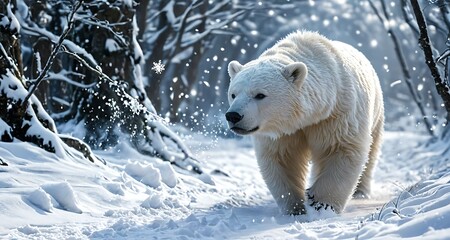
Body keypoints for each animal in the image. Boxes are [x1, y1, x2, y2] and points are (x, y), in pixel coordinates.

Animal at [225, 31, 384, 215]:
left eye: (260, 95)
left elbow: (341, 149)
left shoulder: (336, 114)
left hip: (376, 112)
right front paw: (295, 208)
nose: (233, 116)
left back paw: (360, 192)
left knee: (371, 151)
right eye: (233, 94)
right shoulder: (282, 132)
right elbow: (284, 158)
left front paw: (321, 204)